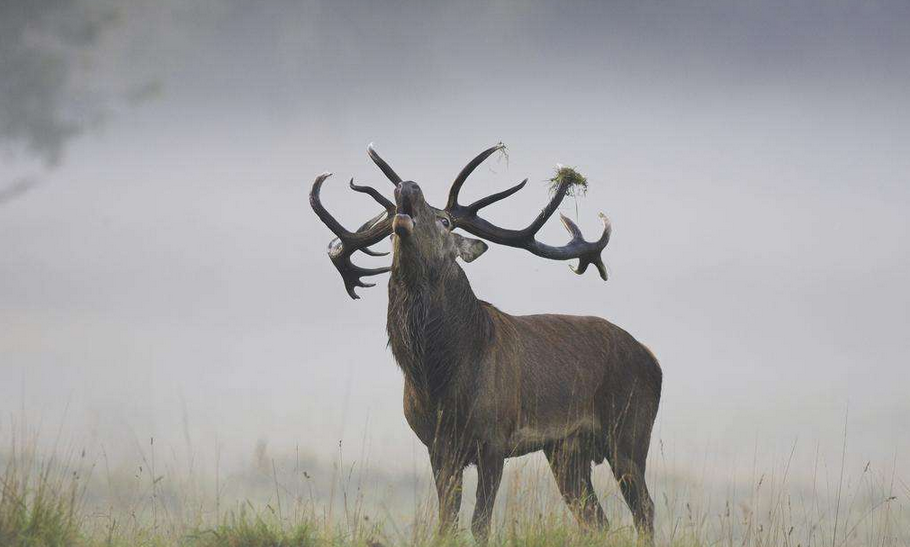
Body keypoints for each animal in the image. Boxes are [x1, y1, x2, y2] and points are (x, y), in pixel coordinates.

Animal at [308, 142, 664, 544]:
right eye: (387, 233)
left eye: (445, 221)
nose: (408, 186)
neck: (439, 376)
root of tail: (653, 359)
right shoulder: (438, 446)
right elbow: (447, 522)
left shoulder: (495, 439)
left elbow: (480, 523)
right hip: (567, 450)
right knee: (595, 519)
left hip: (629, 431)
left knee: (644, 509)